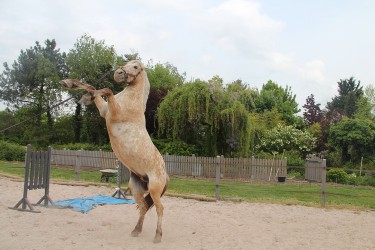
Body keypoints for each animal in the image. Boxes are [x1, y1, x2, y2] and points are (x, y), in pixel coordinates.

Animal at [59, 59, 169, 243]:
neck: (131, 101)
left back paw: (158, 236)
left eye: (136, 66)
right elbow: (92, 87)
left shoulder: (115, 112)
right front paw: (72, 85)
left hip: (154, 189)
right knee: (143, 207)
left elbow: (107, 90)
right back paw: (136, 231)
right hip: (136, 188)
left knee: (160, 209)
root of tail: (165, 175)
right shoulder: (105, 111)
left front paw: (86, 96)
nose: (118, 74)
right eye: (127, 62)